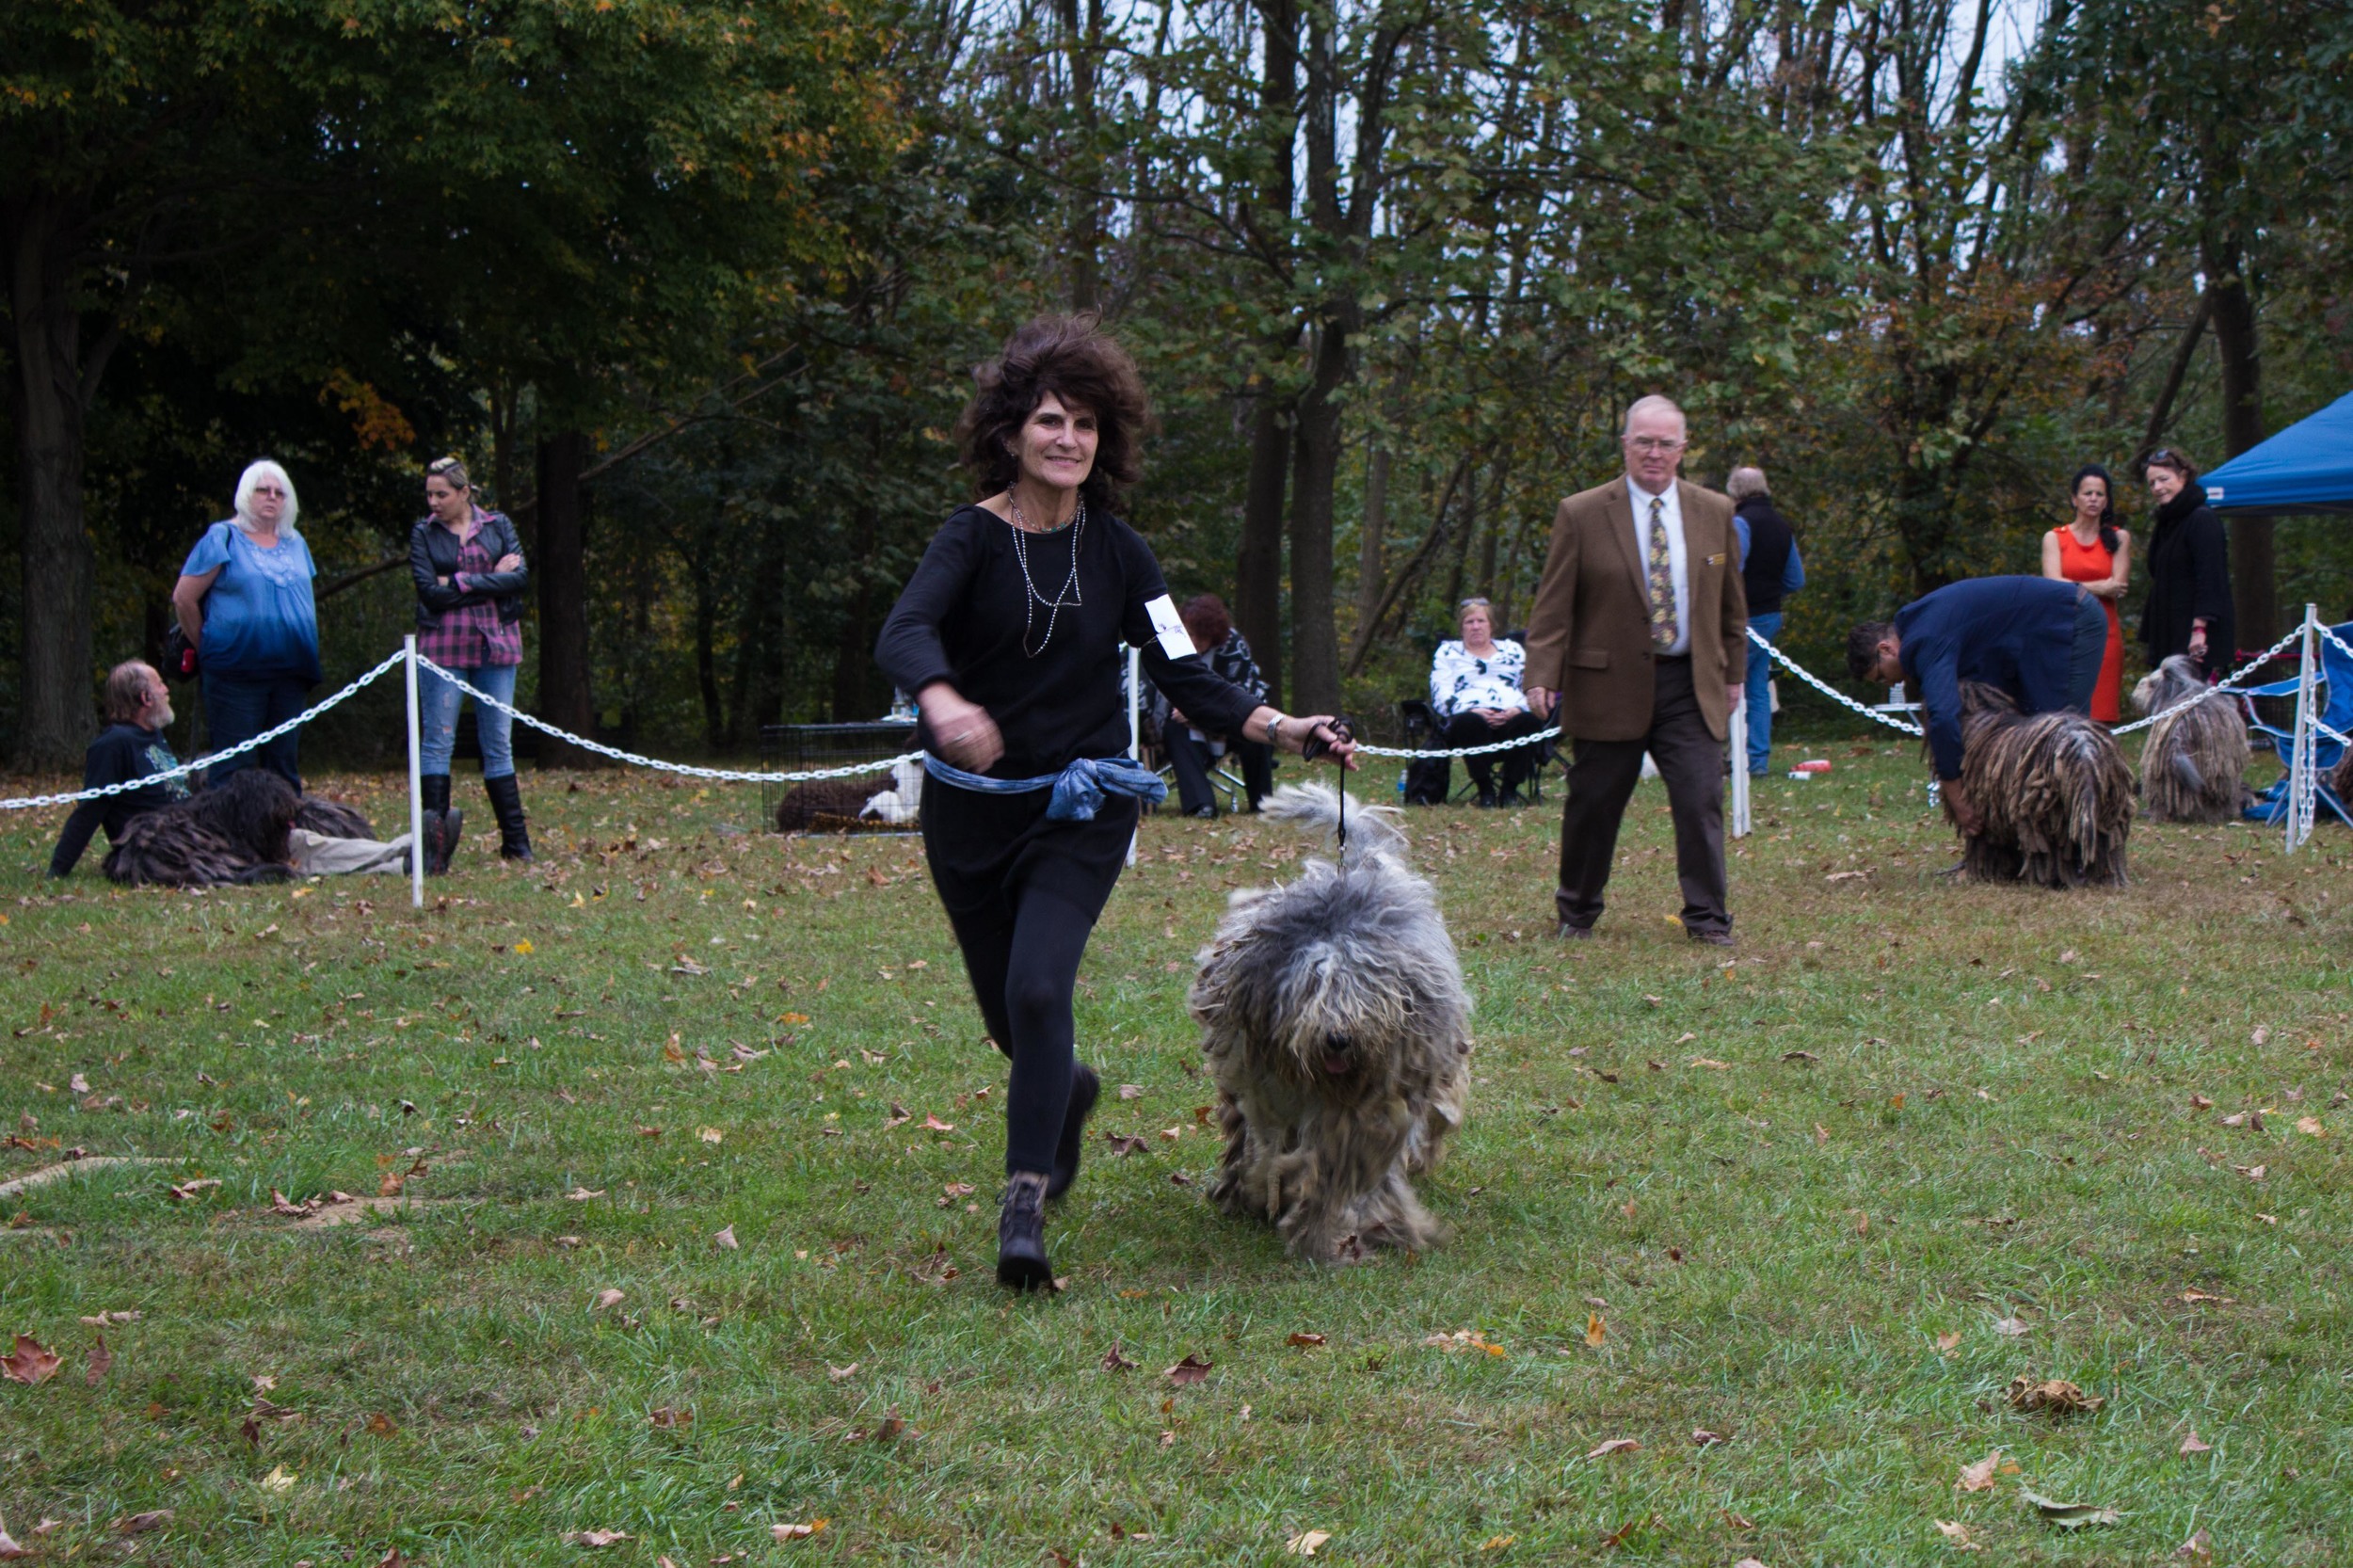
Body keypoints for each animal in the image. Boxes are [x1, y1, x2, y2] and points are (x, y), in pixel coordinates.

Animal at [1195, 781, 1468, 1261]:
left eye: (1366, 989)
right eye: (1310, 987)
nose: (1338, 1038)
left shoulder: (1368, 1109)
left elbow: (1342, 1170)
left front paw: (1331, 1231)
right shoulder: (1265, 1090)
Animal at [1948, 682, 2137, 885]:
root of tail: (2085, 752)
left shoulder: (1984, 817)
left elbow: (1985, 848)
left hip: (2040, 813)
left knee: (2047, 854)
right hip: (2111, 811)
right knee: (2109, 848)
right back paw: (2106, 877)